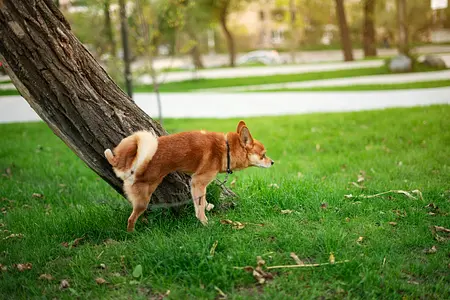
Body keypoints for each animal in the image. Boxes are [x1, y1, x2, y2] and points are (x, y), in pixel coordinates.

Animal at [104, 120, 274, 231]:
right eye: (263, 155)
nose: (272, 162)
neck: (226, 149)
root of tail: (128, 167)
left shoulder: (196, 184)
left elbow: (201, 201)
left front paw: (208, 206)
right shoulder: (198, 181)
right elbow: (200, 208)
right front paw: (205, 223)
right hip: (143, 199)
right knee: (131, 219)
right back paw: (132, 233)